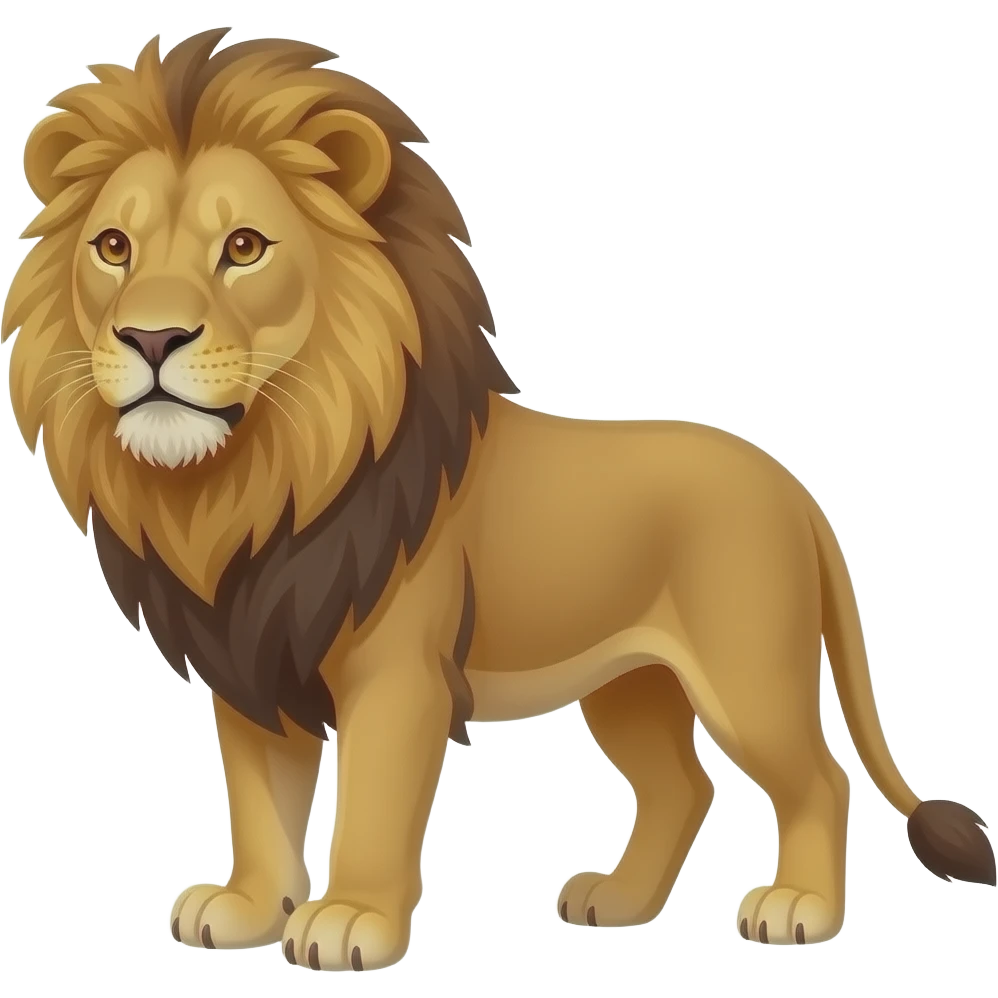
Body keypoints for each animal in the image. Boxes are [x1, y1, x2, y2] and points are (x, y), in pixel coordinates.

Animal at [4, 28, 994, 972]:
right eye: (113, 247)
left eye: (243, 247)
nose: (151, 336)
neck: (254, 482)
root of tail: (796, 490)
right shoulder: (252, 658)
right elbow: (258, 803)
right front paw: (247, 908)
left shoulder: (398, 674)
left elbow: (372, 805)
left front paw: (352, 921)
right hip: (631, 683)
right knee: (684, 786)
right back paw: (619, 901)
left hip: (747, 673)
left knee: (818, 779)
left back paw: (799, 910)